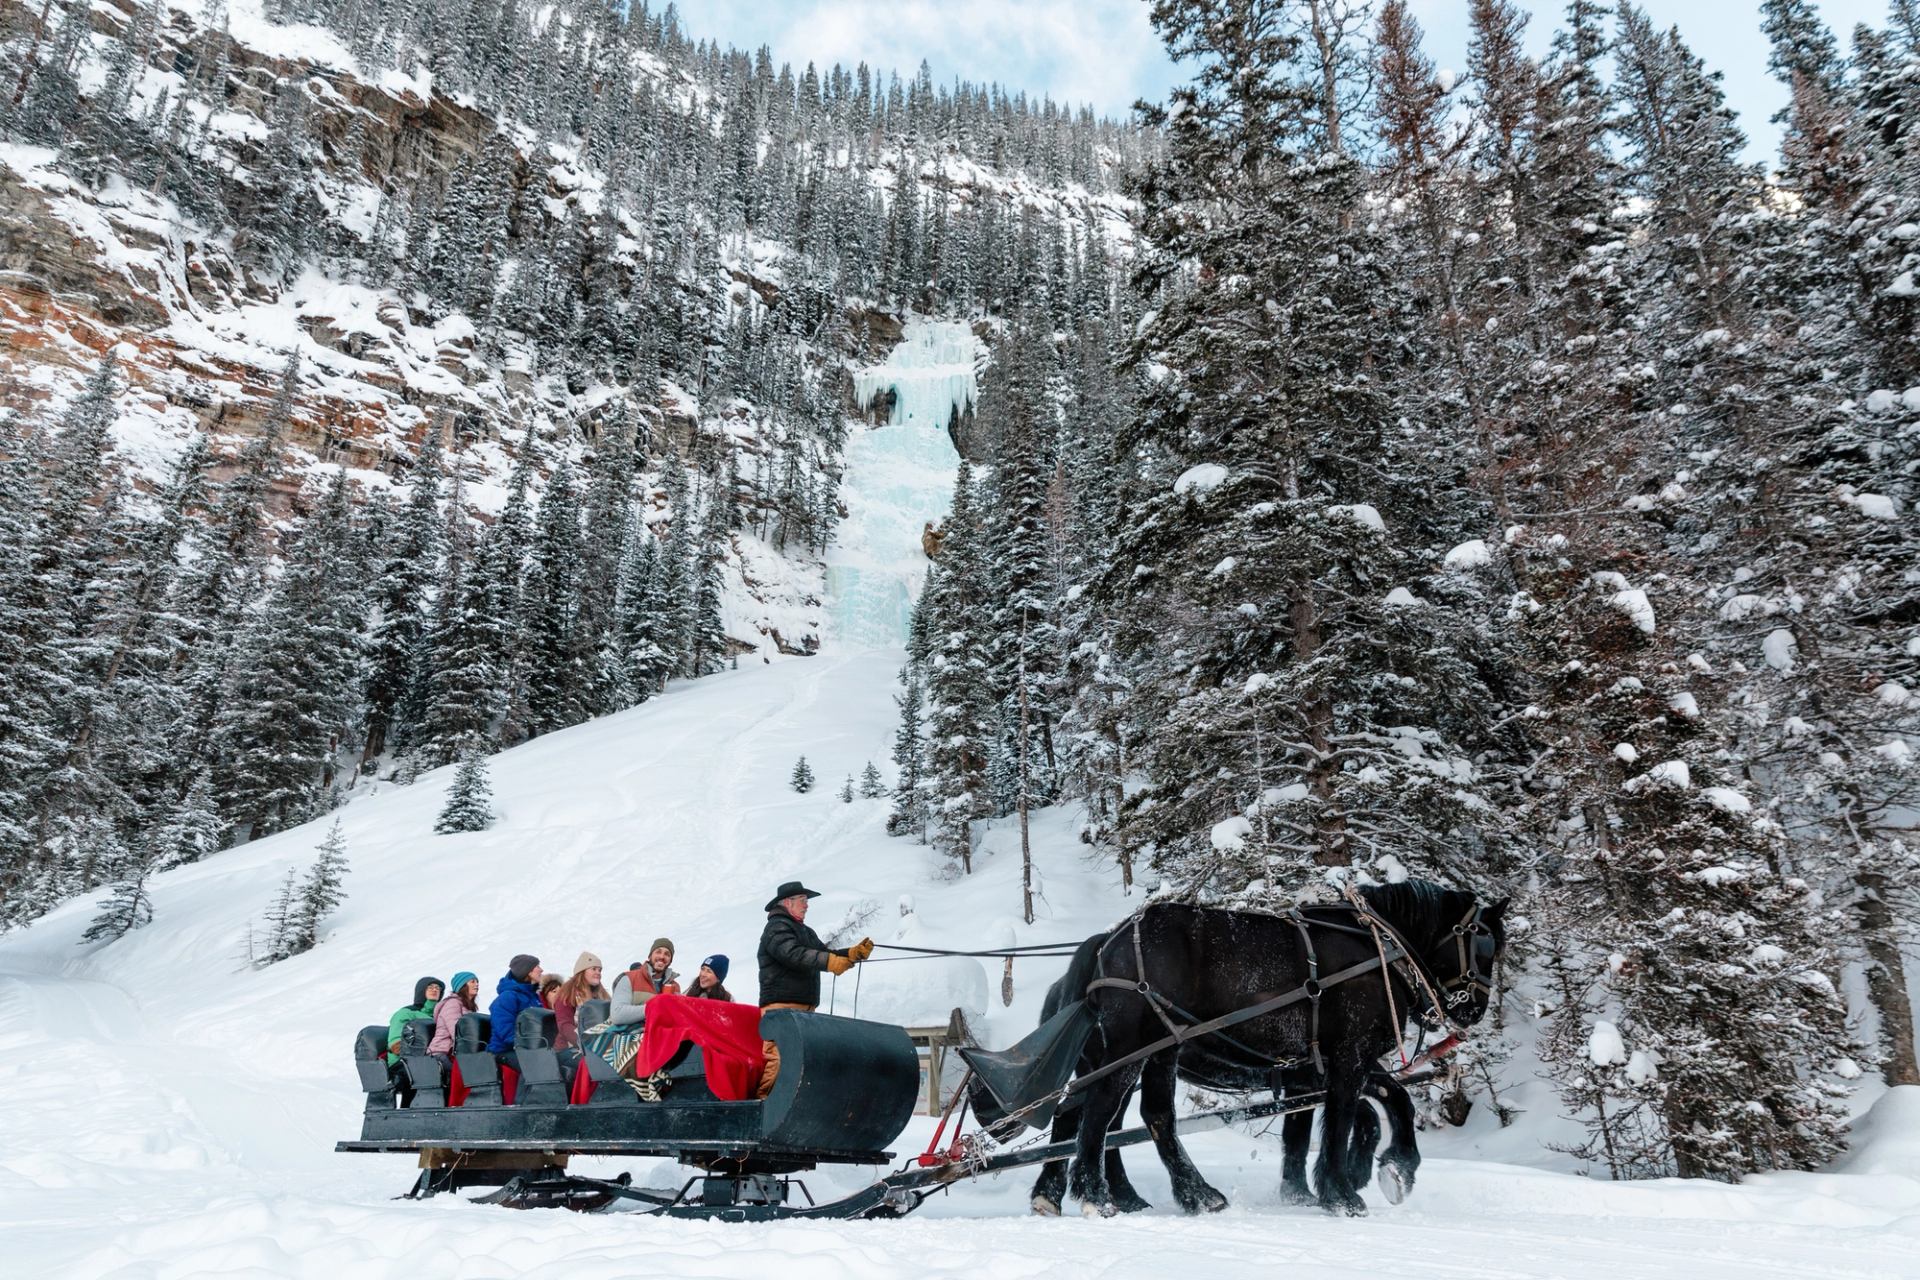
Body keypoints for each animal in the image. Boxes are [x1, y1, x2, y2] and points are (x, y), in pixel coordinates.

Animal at [1044, 882, 1505, 1220]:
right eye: (1484, 947)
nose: (1475, 1009)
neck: (1375, 949)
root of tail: (1109, 941)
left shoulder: (1316, 1065)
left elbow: (1345, 1117)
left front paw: (1375, 1173)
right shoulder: (1350, 1054)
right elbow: (1346, 1117)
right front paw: (1343, 1193)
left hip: (1152, 1052)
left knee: (1121, 1117)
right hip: (1135, 1048)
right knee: (1103, 1113)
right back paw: (1099, 1196)